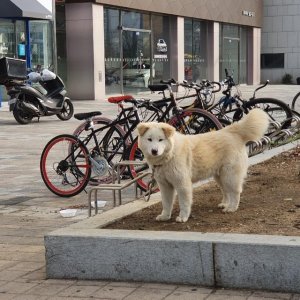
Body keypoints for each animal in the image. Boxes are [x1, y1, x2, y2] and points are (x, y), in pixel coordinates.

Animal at [137, 108, 268, 223]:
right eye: (149, 139)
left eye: (160, 140)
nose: (154, 151)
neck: (169, 155)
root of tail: (231, 131)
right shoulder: (165, 185)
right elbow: (166, 203)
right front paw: (165, 216)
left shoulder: (182, 184)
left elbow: (184, 203)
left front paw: (183, 217)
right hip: (220, 176)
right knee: (226, 191)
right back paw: (225, 204)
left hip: (230, 175)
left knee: (235, 192)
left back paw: (231, 208)